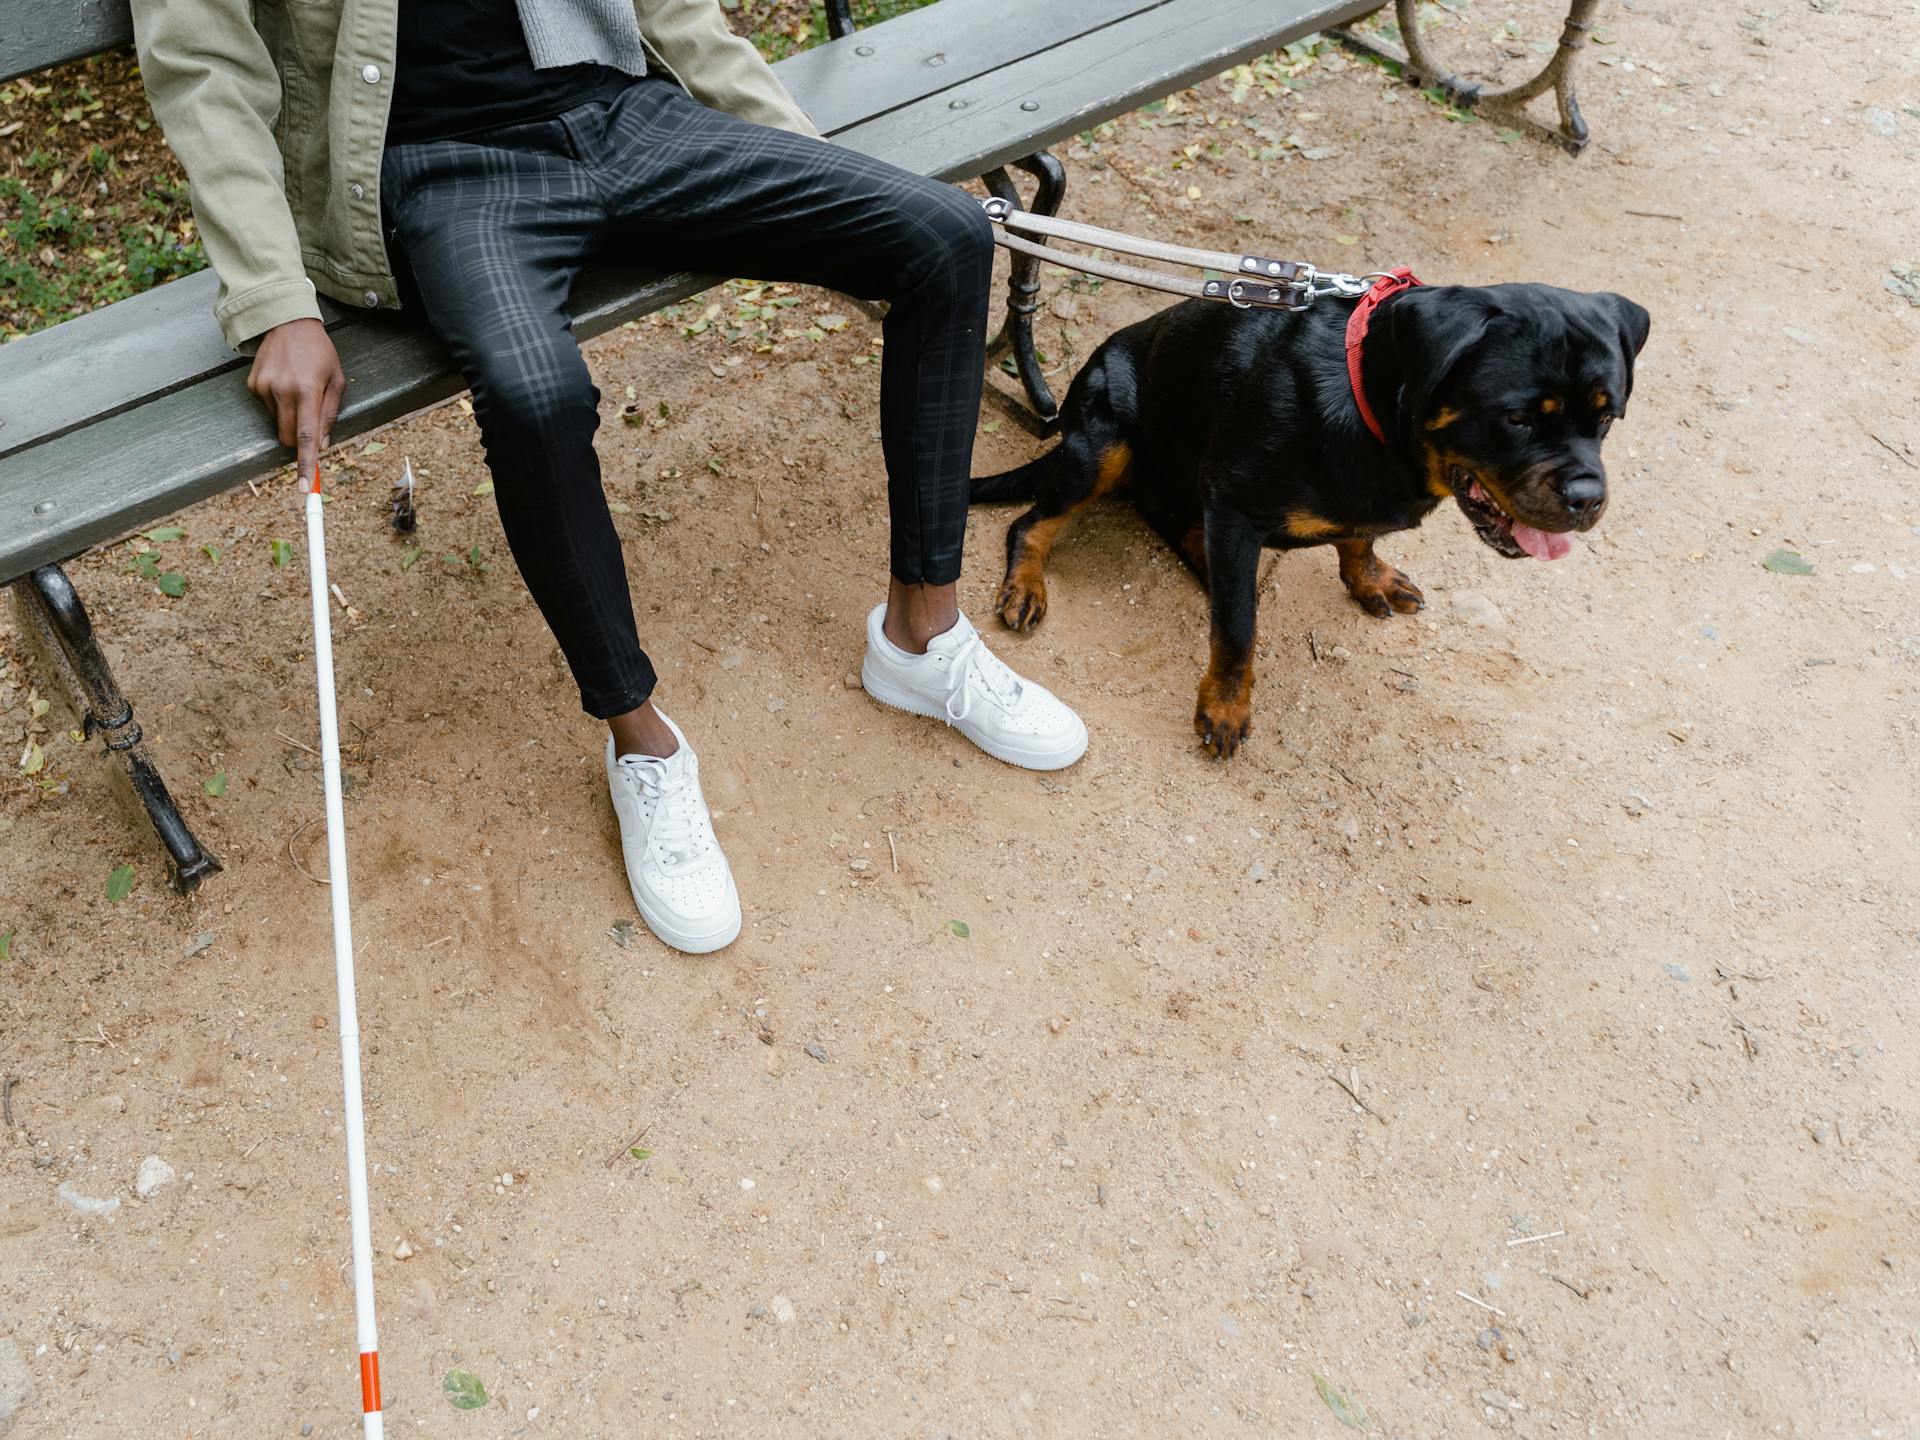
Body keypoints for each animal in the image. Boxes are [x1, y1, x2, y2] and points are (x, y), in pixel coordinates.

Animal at [975, 274, 1651, 760]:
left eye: (1607, 416)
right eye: (1517, 418)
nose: (1588, 498)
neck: (1374, 412)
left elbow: (1357, 540)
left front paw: (1370, 576)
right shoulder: (1236, 504)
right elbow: (1237, 631)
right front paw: (1225, 708)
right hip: (1103, 443)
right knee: (1031, 523)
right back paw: (1027, 584)